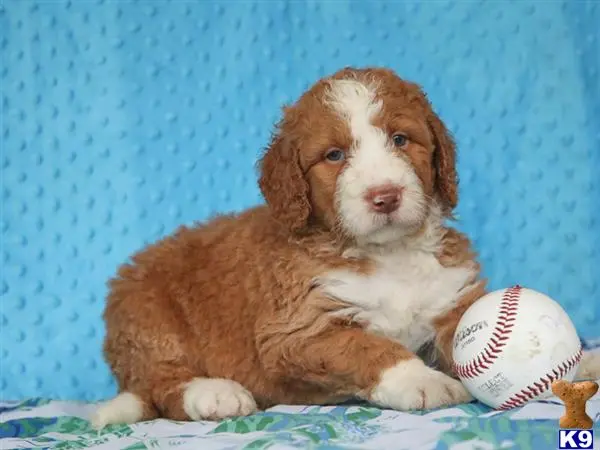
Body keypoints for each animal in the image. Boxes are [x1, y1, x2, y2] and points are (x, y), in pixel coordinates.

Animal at [91, 65, 596, 428]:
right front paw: (418, 378)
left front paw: (580, 363)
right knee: (160, 386)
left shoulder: (449, 303)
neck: (387, 254)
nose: (385, 196)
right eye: (334, 156)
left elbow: (463, 335)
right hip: (146, 316)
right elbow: (366, 346)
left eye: (400, 139)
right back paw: (213, 393)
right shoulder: (297, 331)